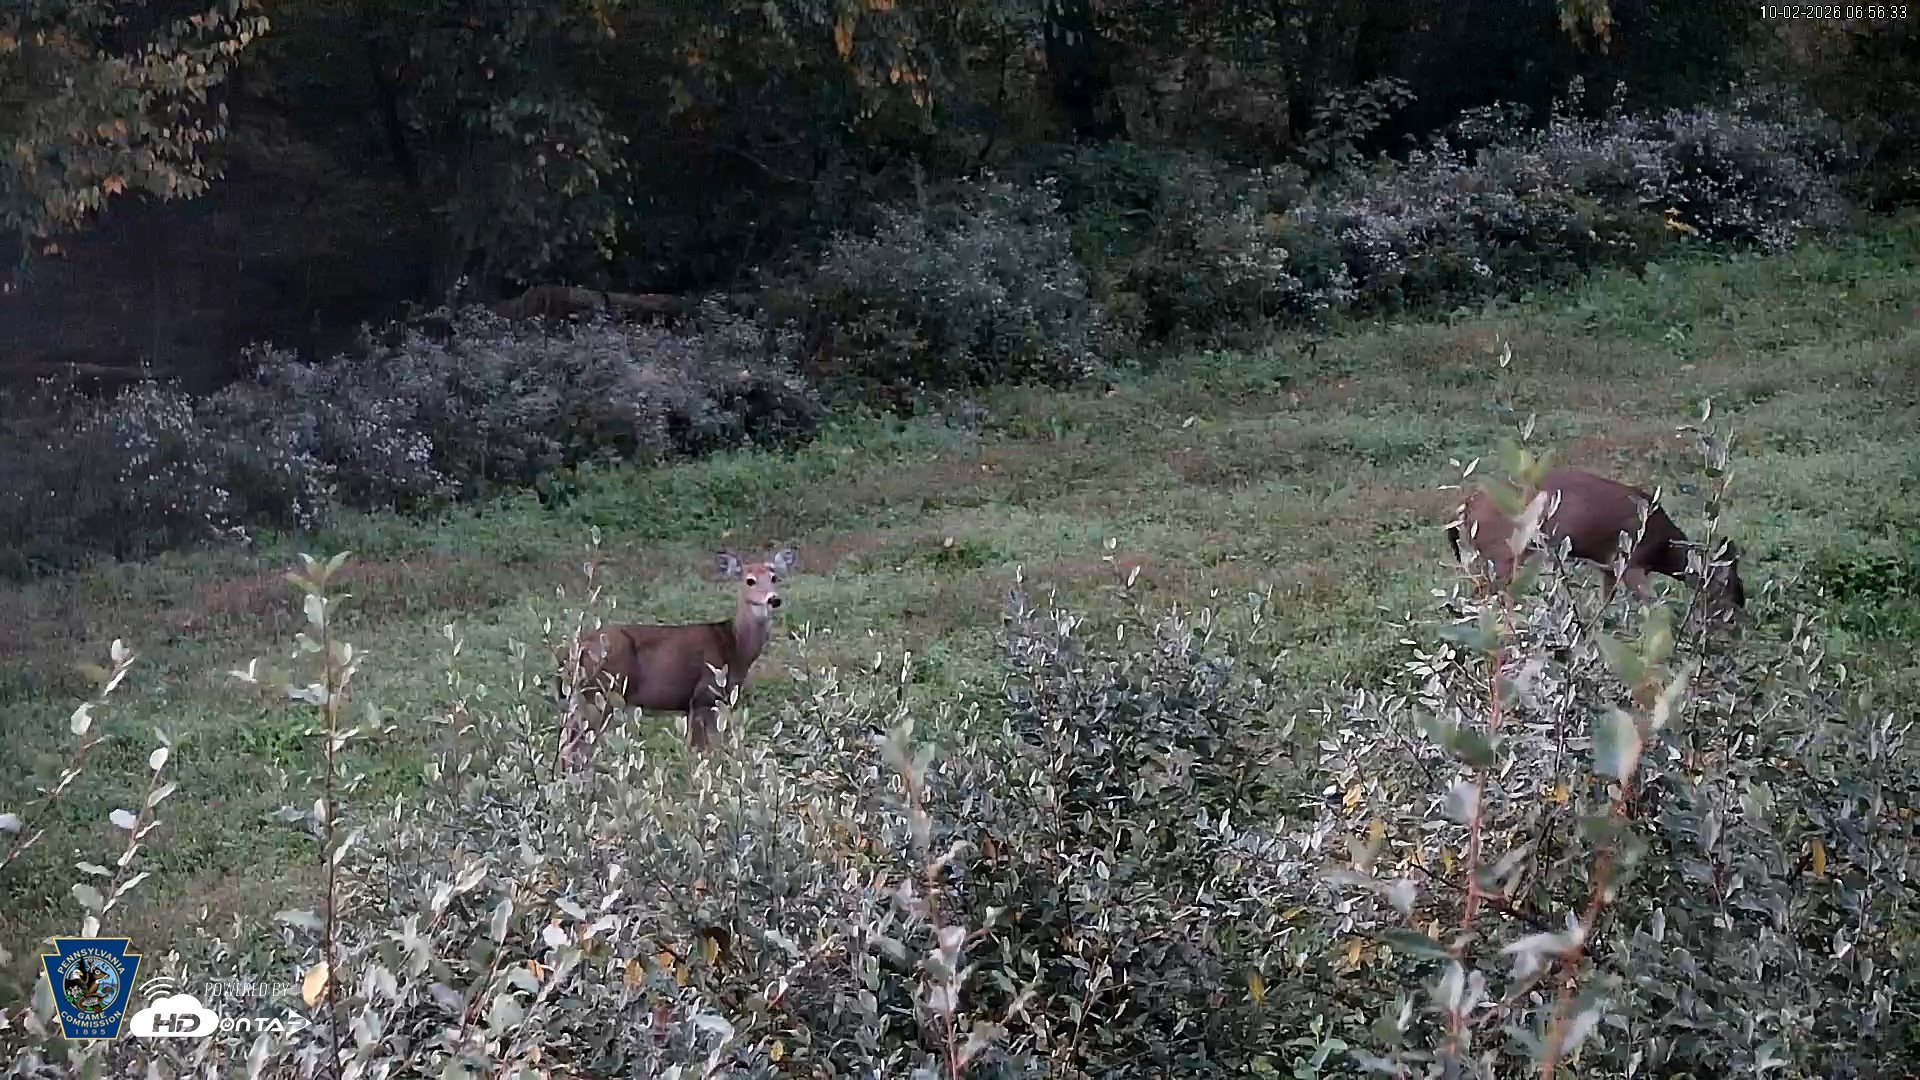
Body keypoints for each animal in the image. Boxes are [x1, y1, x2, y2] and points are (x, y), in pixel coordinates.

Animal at [554, 547, 796, 753]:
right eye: (750, 580)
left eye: (774, 578)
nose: (774, 599)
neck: (734, 647)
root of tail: (573, 652)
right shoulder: (704, 695)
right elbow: (701, 751)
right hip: (600, 693)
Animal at [1447, 467, 1747, 620]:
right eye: (1731, 585)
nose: (1739, 615)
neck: (1662, 549)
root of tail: (1465, 508)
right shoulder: (1631, 559)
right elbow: (1651, 603)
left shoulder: (1607, 565)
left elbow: (1606, 602)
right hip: (1501, 552)